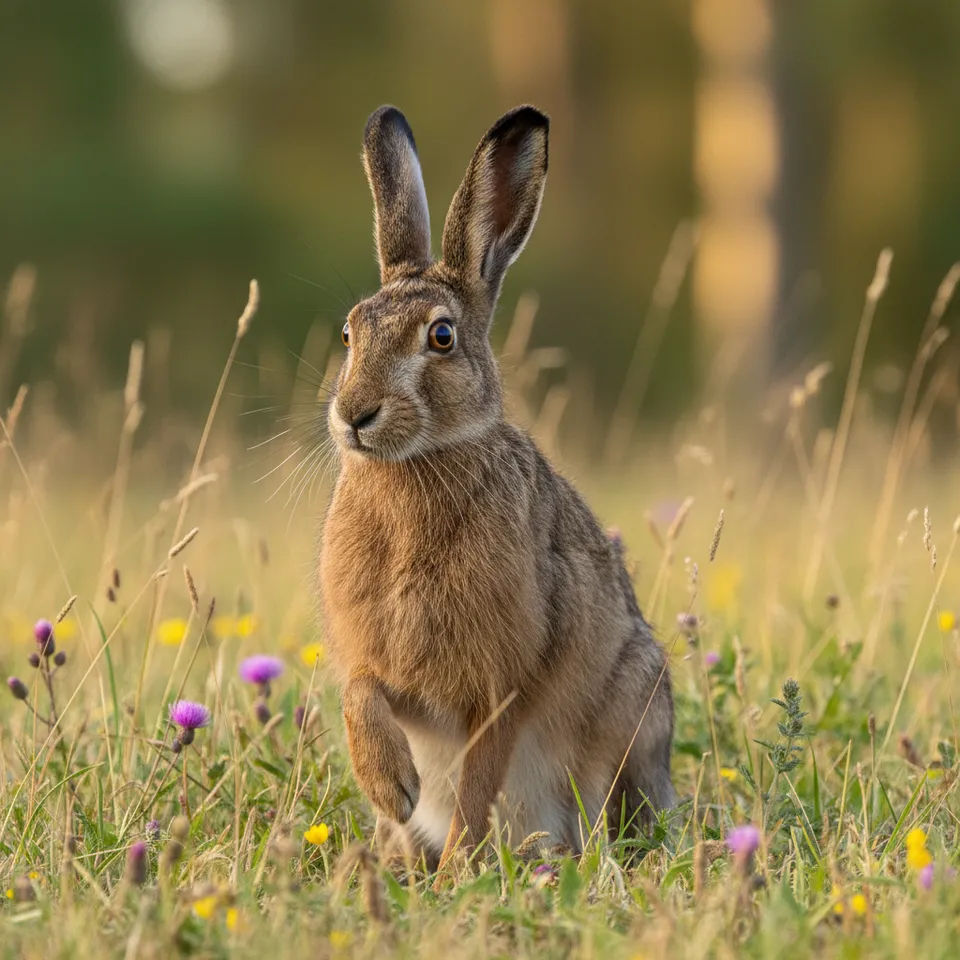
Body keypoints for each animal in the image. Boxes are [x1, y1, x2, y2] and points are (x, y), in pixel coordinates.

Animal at [319, 104, 675, 871]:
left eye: (442, 337)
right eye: (350, 334)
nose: (354, 415)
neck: (415, 466)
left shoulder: (500, 689)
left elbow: (480, 779)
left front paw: (460, 869)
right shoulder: (380, 665)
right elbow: (361, 692)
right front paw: (391, 784)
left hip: (629, 719)